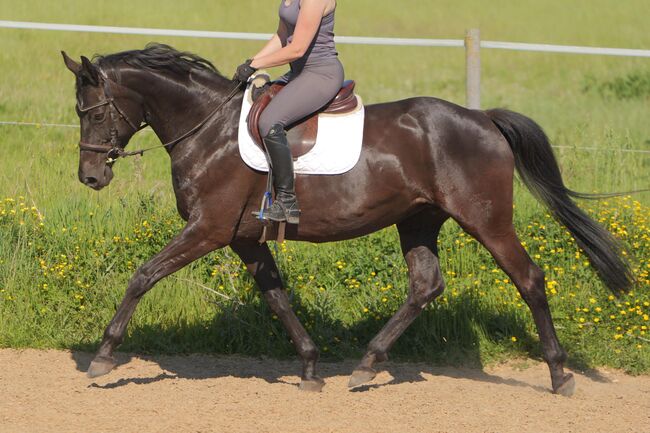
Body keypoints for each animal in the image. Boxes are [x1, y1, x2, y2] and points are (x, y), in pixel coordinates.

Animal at [61, 43, 632, 395]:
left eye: (94, 111)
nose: (90, 176)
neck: (209, 130)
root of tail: (482, 118)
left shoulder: (208, 230)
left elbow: (143, 276)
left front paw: (103, 357)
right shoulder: (245, 238)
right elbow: (277, 297)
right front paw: (312, 366)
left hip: (486, 220)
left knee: (529, 278)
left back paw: (559, 376)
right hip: (418, 220)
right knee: (426, 285)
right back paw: (365, 365)